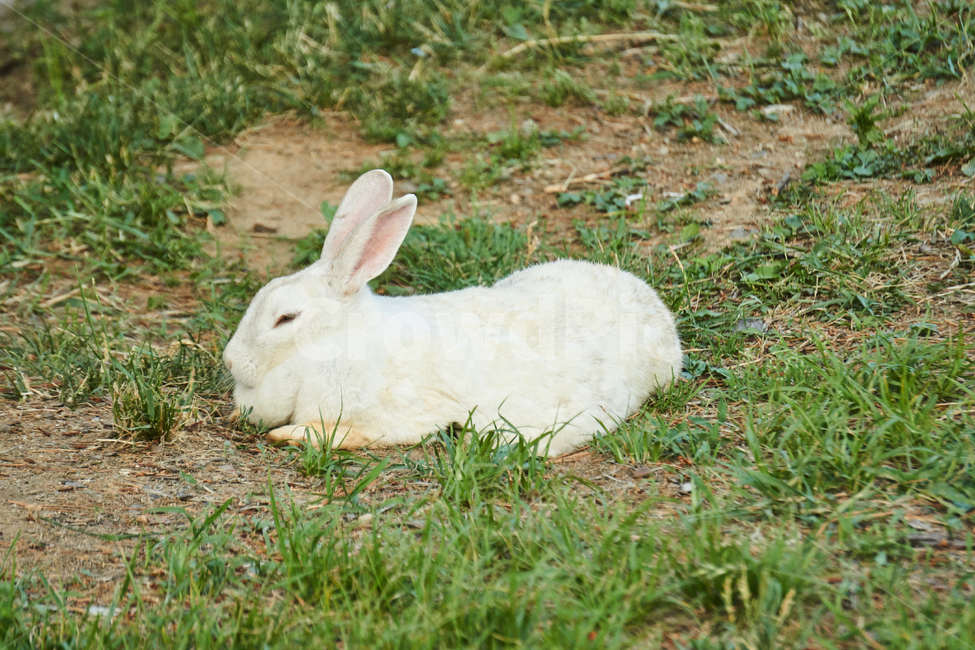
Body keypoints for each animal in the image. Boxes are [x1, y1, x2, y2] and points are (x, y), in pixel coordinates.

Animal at [223, 169, 682, 457]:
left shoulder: (397, 415)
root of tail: (656, 307)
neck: (332, 343)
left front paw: (288, 435)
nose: (230, 360)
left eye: (286, 319)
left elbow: (347, 432)